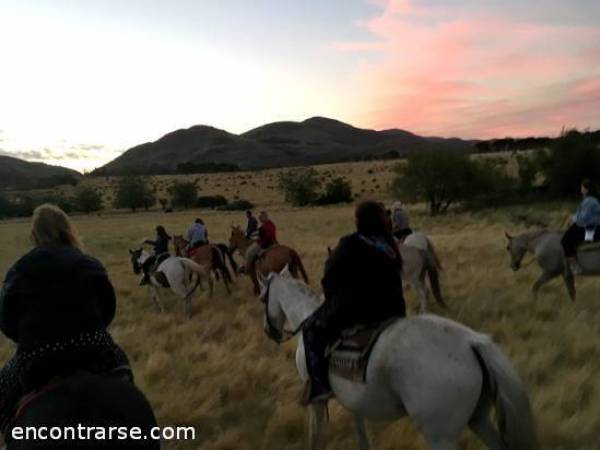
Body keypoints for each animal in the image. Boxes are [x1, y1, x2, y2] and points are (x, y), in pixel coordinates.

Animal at [260, 268, 536, 448]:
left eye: (262, 297)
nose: (268, 331)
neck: (306, 319)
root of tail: (471, 343)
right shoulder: (353, 401)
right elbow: (361, 434)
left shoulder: (315, 402)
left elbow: (315, 435)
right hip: (478, 419)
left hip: (441, 436)